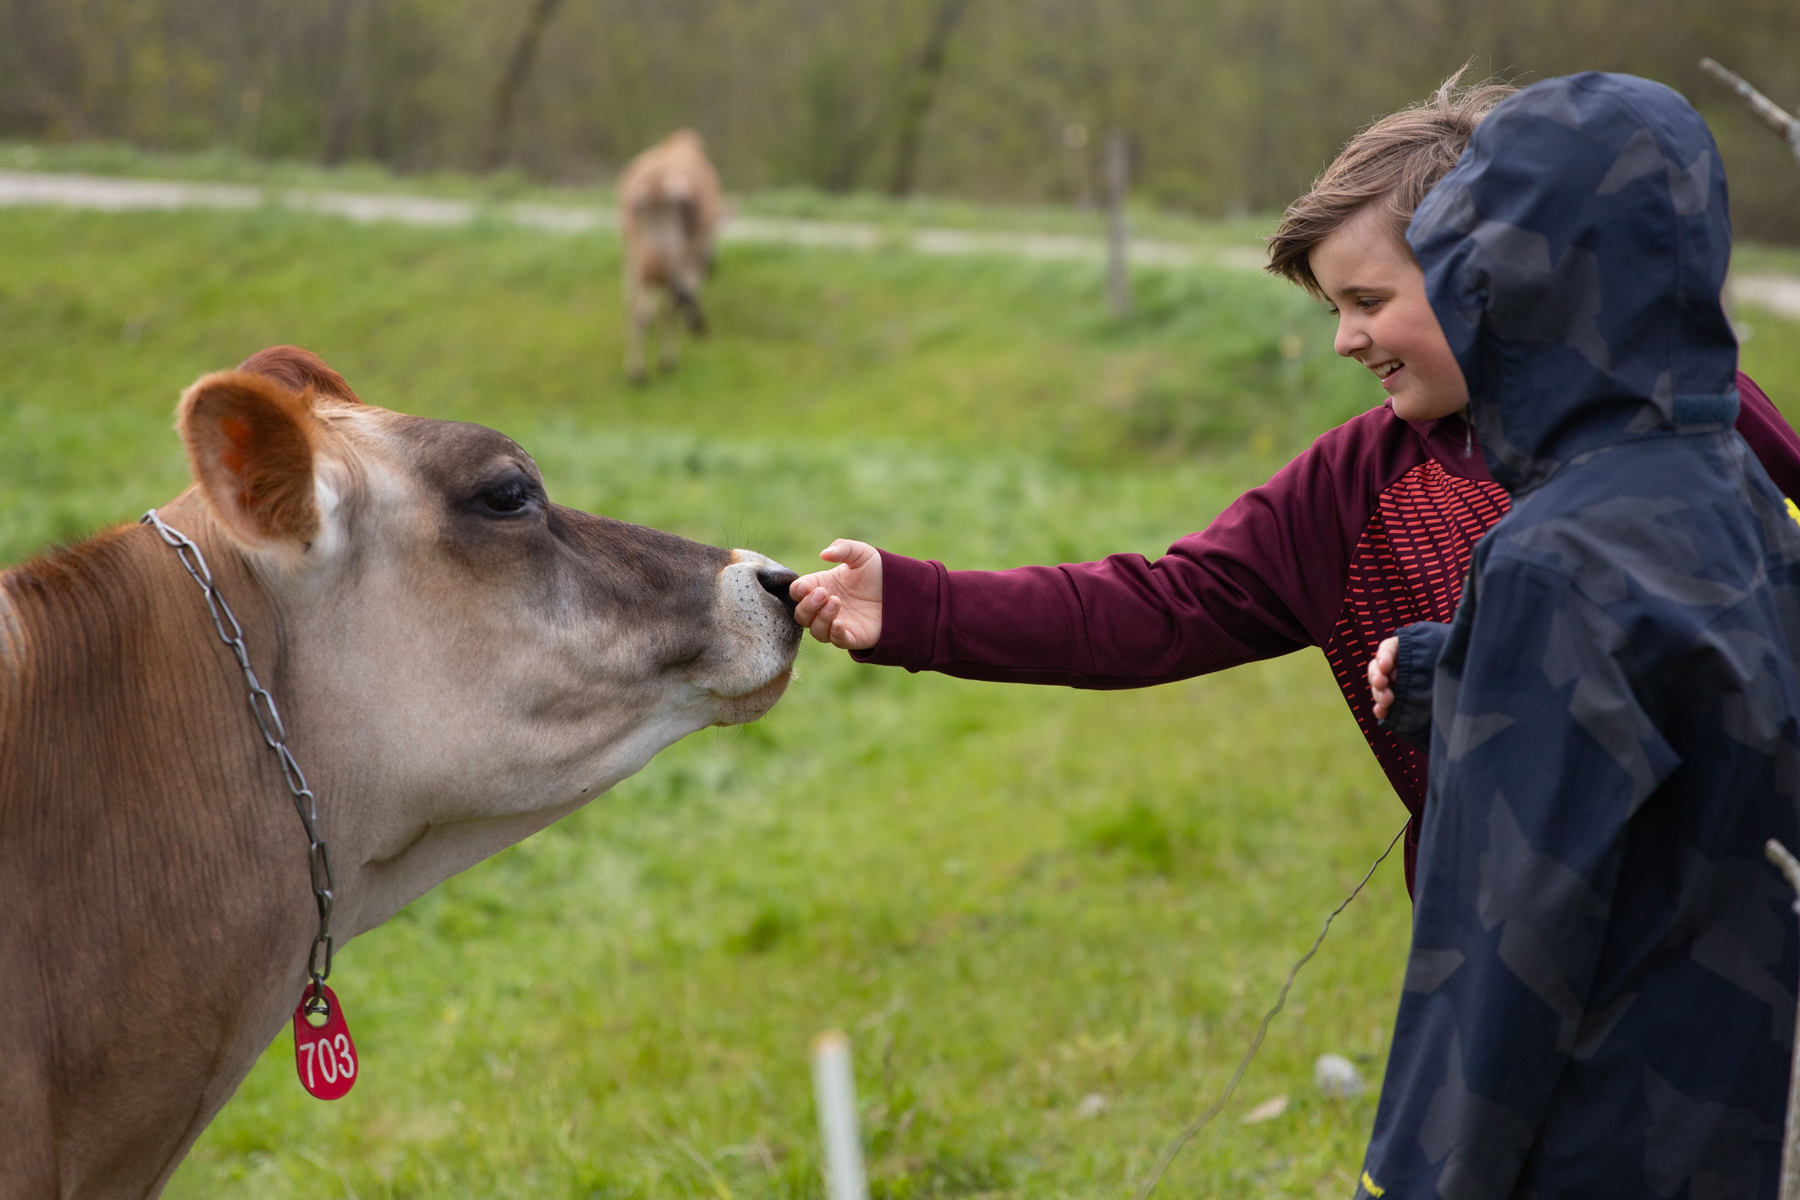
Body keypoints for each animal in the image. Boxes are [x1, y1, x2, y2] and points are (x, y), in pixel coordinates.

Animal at [619, 129, 723, 379]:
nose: (714, 265)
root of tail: (656, 184)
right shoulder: (693, 254)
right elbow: (681, 299)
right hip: (672, 256)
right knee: (663, 308)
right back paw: (665, 362)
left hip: (634, 255)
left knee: (636, 309)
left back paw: (635, 370)